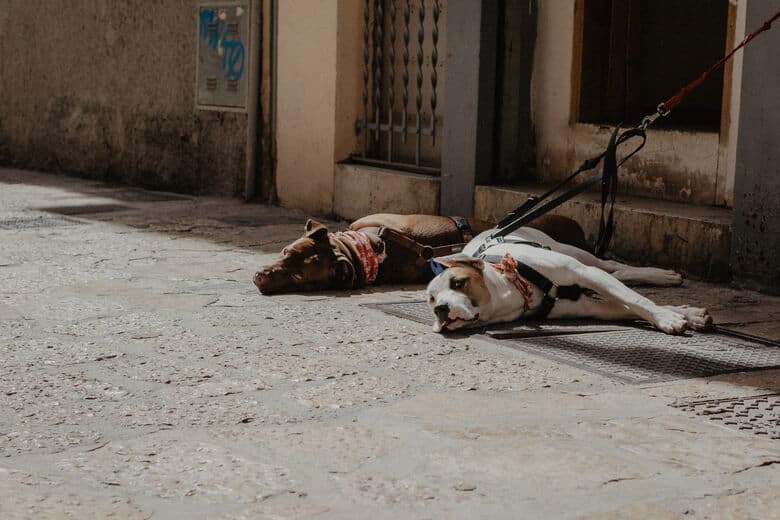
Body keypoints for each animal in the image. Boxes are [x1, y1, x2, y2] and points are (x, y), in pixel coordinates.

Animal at [426, 226, 712, 334]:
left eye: (458, 283)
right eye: (431, 300)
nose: (440, 309)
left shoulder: (584, 272)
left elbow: (636, 300)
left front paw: (668, 318)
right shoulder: (590, 307)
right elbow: (625, 306)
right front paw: (687, 314)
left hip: (576, 254)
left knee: (613, 267)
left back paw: (661, 275)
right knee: (617, 274)